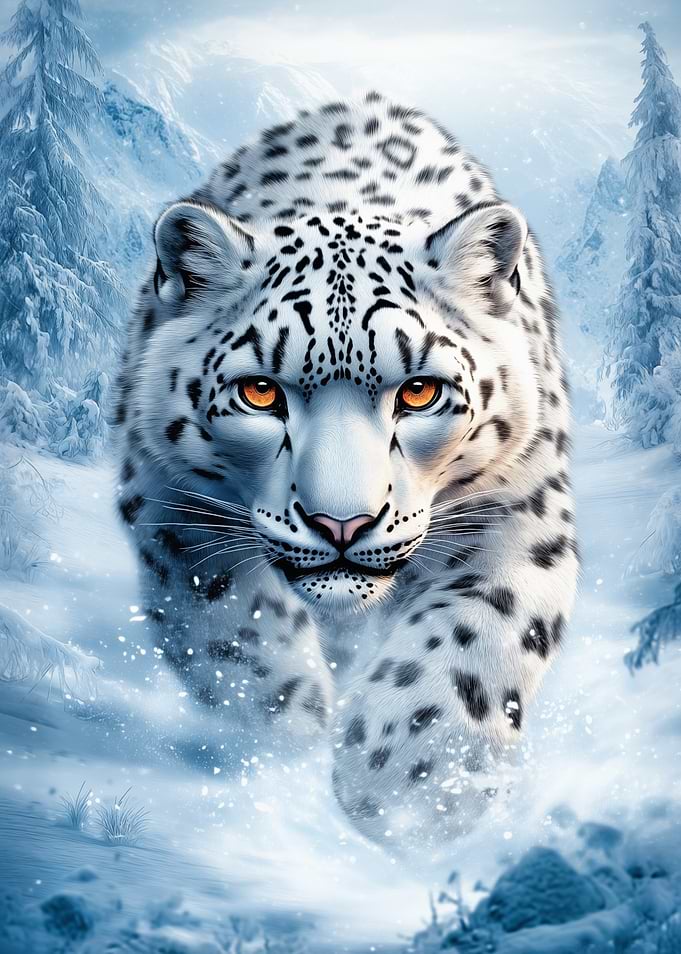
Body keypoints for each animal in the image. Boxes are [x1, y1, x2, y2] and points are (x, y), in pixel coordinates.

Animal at [113, 92, 579, 848]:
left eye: (419, 392)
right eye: (259, 392)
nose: (341, 524)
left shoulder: (522, 507)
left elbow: (476, 627)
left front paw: (410, 782)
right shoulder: (171, 502)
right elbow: (230, 627)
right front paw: (287, 730)